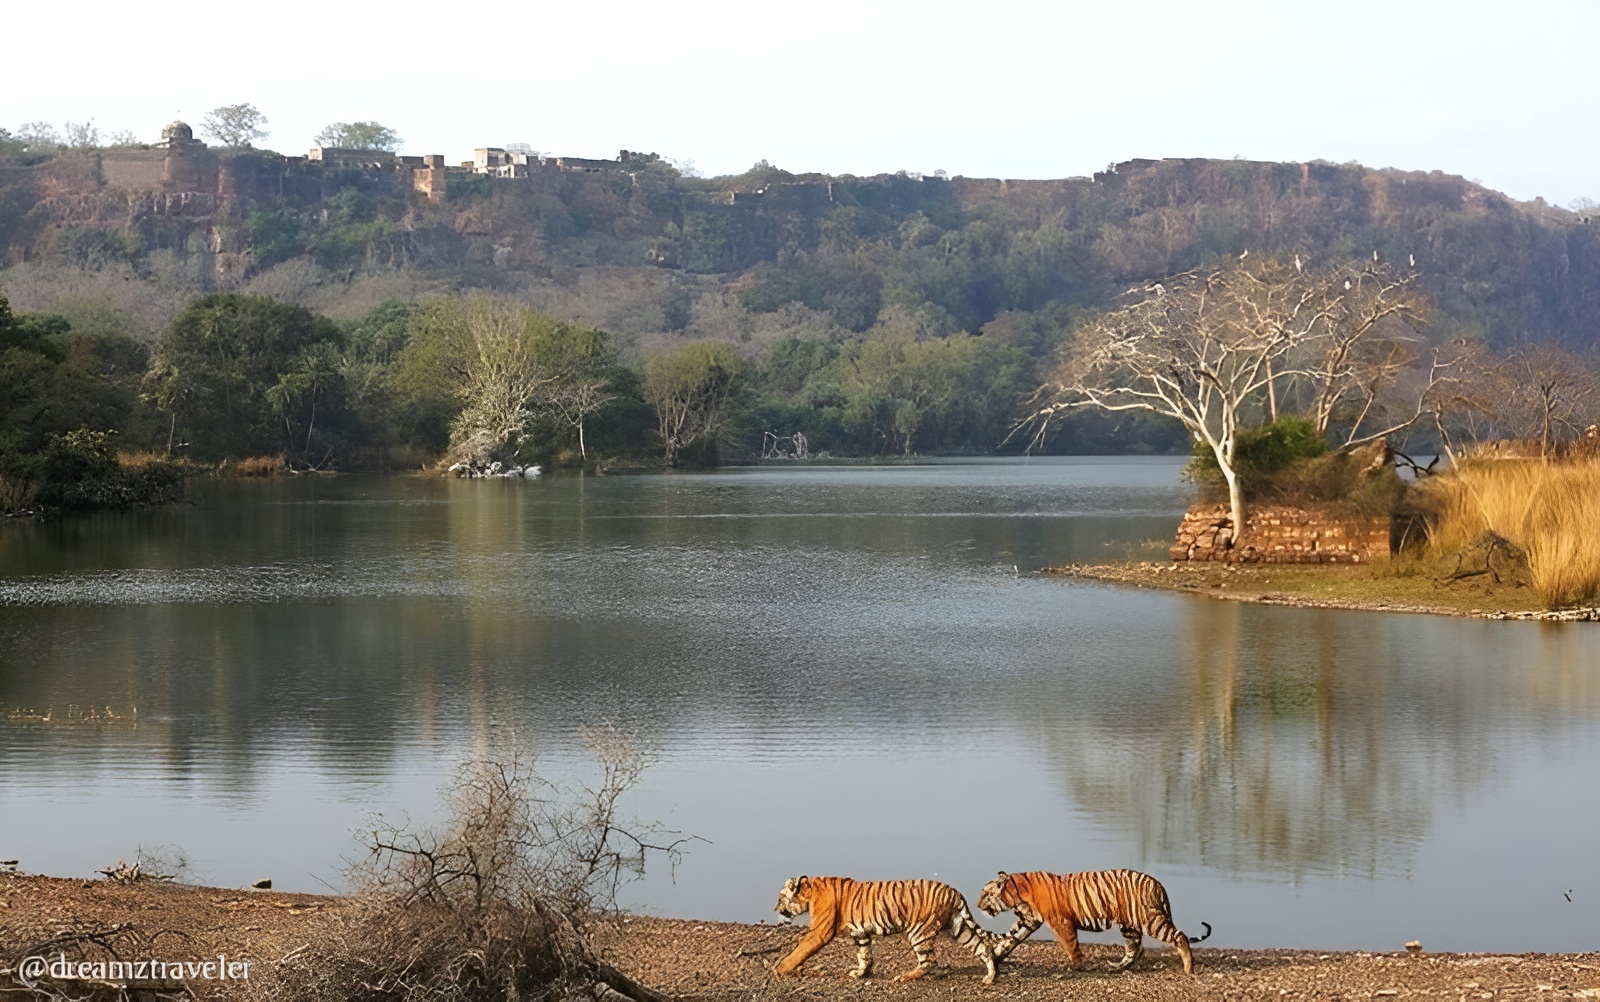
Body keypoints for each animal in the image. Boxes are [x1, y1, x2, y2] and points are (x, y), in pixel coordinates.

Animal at [771, 870, 998, 979]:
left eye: (781, 898)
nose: (774, 908)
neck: (811, 891)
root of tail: (954, 892)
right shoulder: (861, 933)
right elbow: (864, 955)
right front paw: (861, 973)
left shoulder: (820, 931)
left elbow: (800, 949)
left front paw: (780, 968)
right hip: (959, 927)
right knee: (981, 947)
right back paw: (989, 976)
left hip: (919, 931)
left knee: (929, 961)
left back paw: (905, 977)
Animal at [972, 864, 1209, 973]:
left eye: (984, 894)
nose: (977, 905)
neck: (1017, 893)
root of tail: (1158, 884)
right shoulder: (1028, 921)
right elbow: (1010, 940)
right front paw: (997, 955)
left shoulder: (1060, 922)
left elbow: (1070, 944)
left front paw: (1077, 963)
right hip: (1130, 926)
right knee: (1135, 949)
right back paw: (1116, 966)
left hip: (1150, 920)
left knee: (1179, 936)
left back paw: (1188, 967)